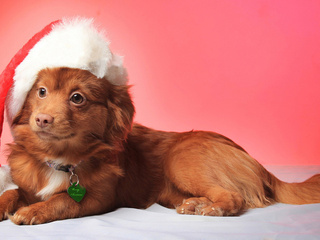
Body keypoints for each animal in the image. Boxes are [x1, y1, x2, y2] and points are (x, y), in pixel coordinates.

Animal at [0, 67, 320, 225]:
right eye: (41, 92)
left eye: (77, 98)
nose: (42, 119)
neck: (59, 158)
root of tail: (257, 164)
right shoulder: (27, 186)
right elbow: (13, 192)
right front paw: (8, 205)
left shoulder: (98, 199)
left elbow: (62, 200)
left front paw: (32, 212)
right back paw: (195, 204)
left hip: (181, 159)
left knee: (234, 196)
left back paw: (213, 209)